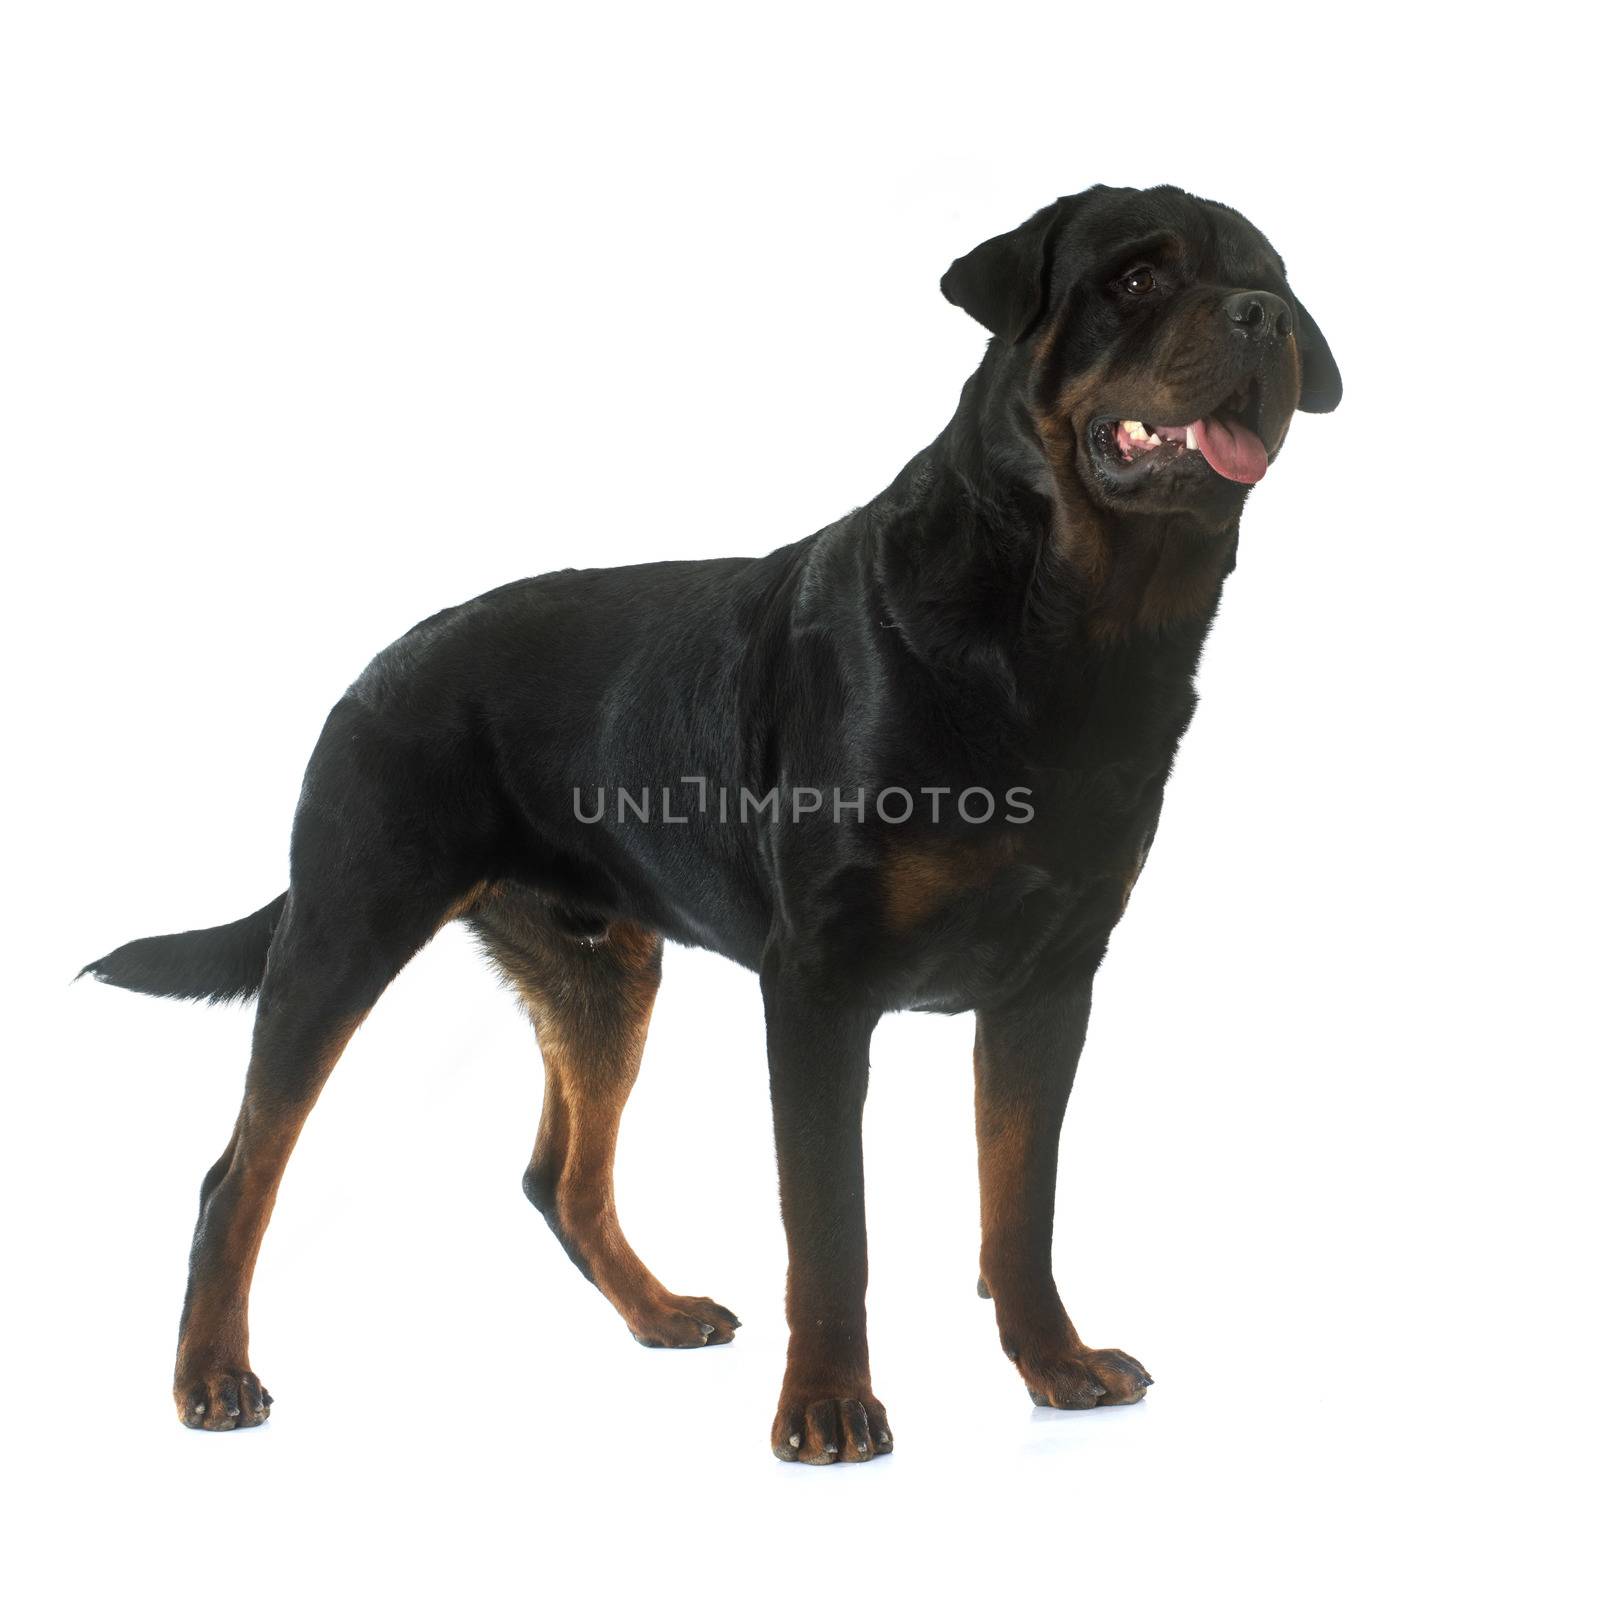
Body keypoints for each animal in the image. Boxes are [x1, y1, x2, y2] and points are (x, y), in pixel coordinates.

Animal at [84, 187, 1337, 1465]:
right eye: (1136, 278)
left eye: (1271, 278)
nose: (1260, 317)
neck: (1071, 631)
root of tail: (380, 665)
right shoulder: (820, 982)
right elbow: (832, 1224)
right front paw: (828, 1406)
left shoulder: (1050, 983)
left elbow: (1019, 1201)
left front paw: (1055, 1362)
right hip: (346, 927)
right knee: (241, 1172)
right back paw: (213, 1374)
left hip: (600, 973)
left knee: (561, 1176)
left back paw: (660, 1310)